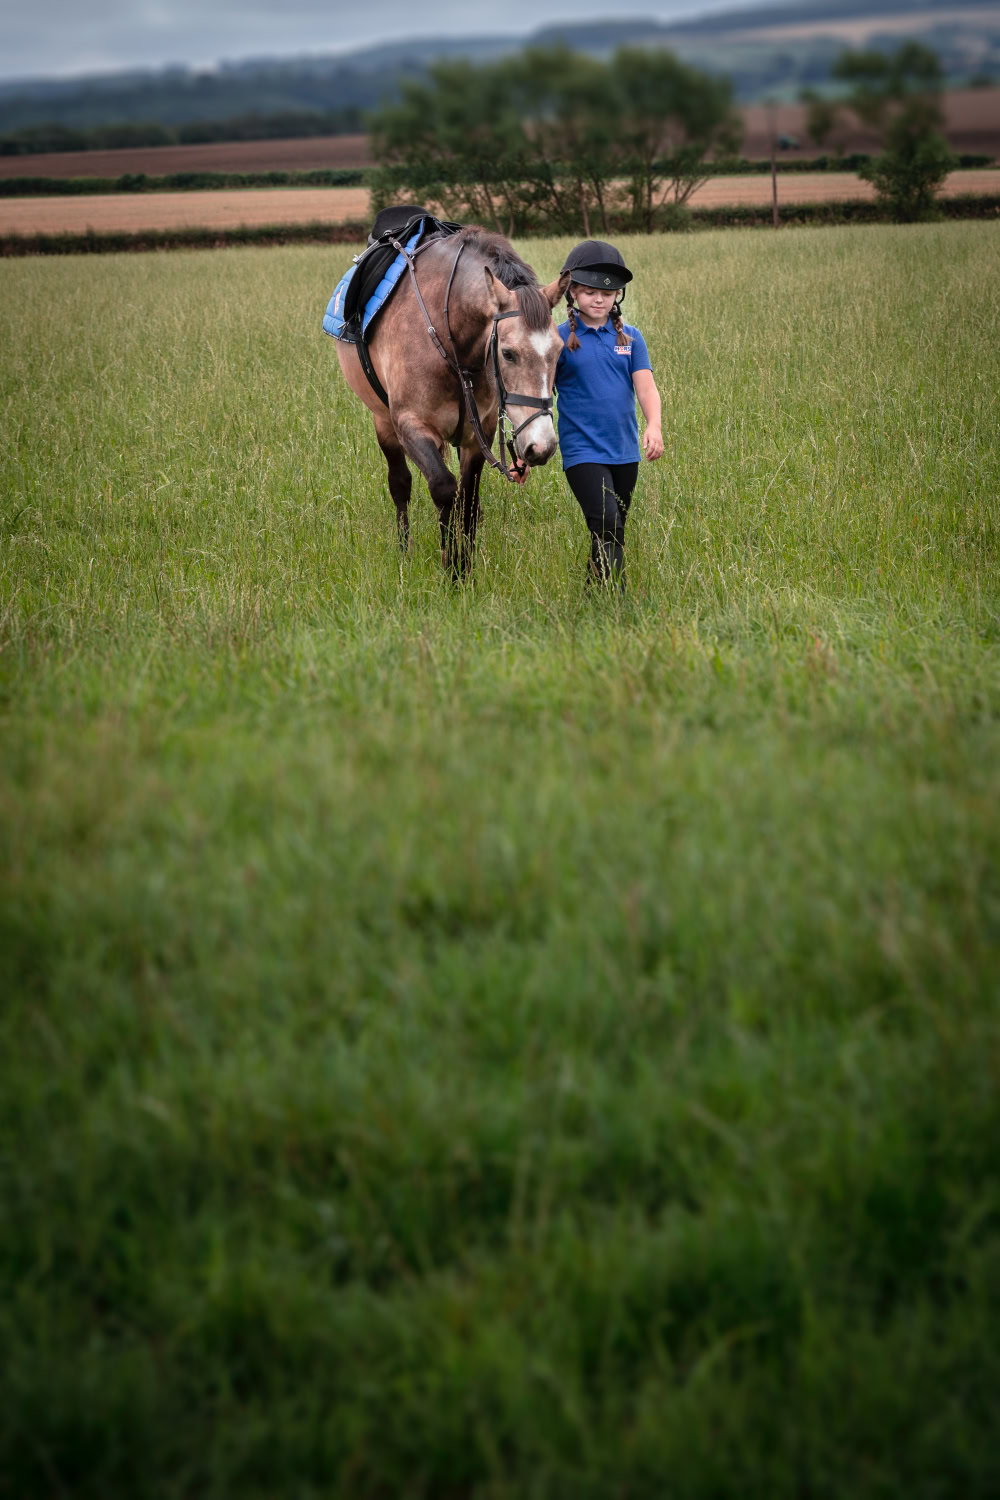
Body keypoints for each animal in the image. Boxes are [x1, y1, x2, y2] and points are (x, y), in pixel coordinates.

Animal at [335, 225, 566, 577]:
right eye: (508, 353)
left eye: (559, 350)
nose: (542, 447)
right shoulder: (411, 425)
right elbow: (444, 488)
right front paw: (451, 567)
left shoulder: (477, 434)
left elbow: (467, 500)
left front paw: (465, 565)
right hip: (383, 421)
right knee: (400, 483)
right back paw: (404, 548)